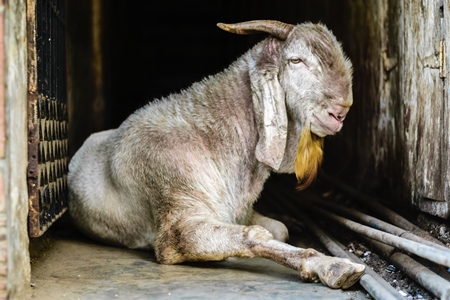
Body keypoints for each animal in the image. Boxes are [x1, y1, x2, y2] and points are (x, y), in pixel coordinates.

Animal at [68, 20, 368, 288]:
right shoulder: (177, 221)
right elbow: (254, 235)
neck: (214, 137)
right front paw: (332, 265)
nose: (340, 113)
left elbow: (279, 229)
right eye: (296, 60)